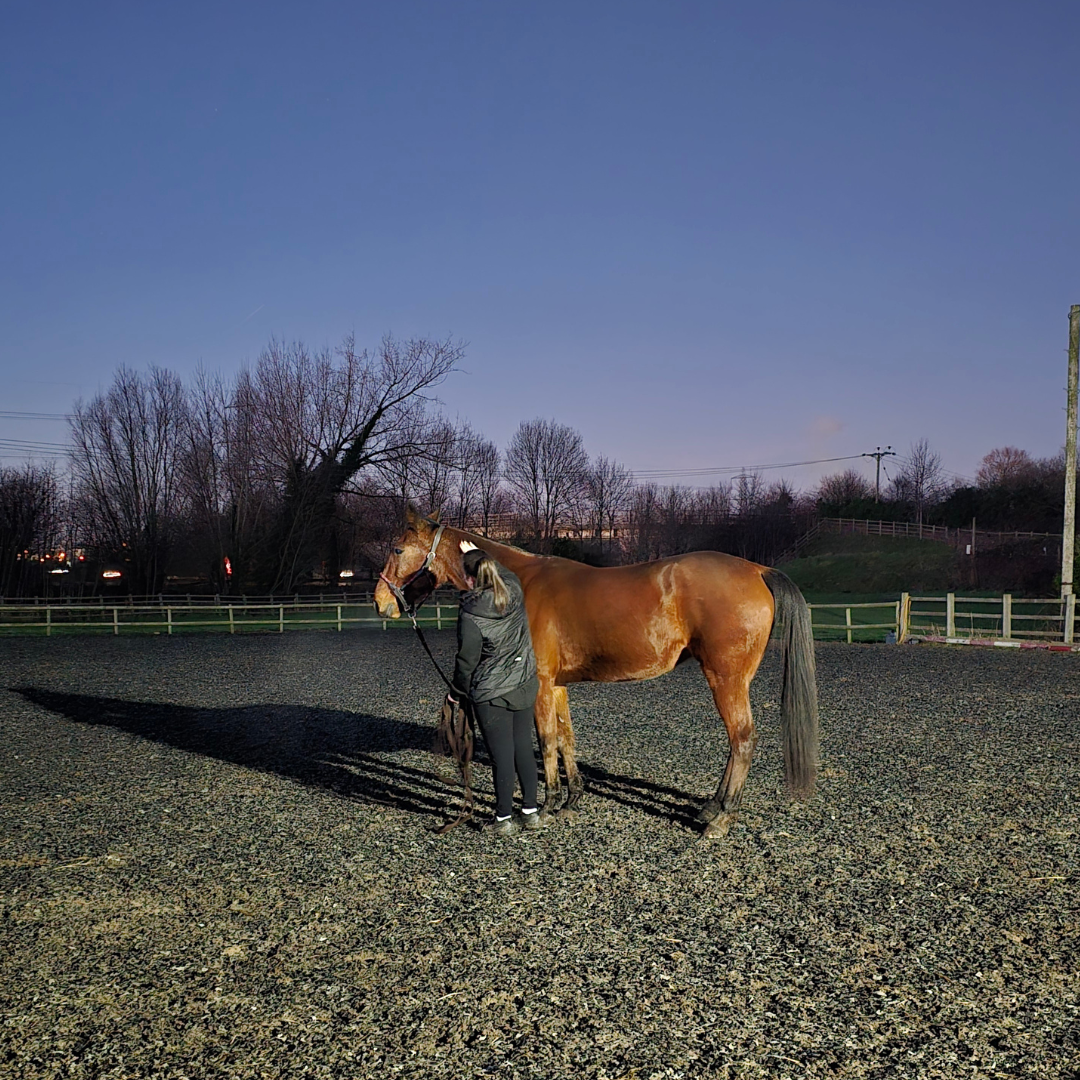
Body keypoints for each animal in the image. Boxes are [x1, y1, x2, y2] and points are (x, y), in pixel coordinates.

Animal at [374, 508, 819, 837]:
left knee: (742, 739)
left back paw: (722, 817)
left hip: (725, 679)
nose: (381, 603)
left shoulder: (539, 686)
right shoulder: (556, 687)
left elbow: (546, 741)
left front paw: (546, 806)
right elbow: (566, 739)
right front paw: (573, 799)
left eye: (397, 548)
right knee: (736, 742)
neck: (515, 583)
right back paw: (711, 808)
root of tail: (757, 569)